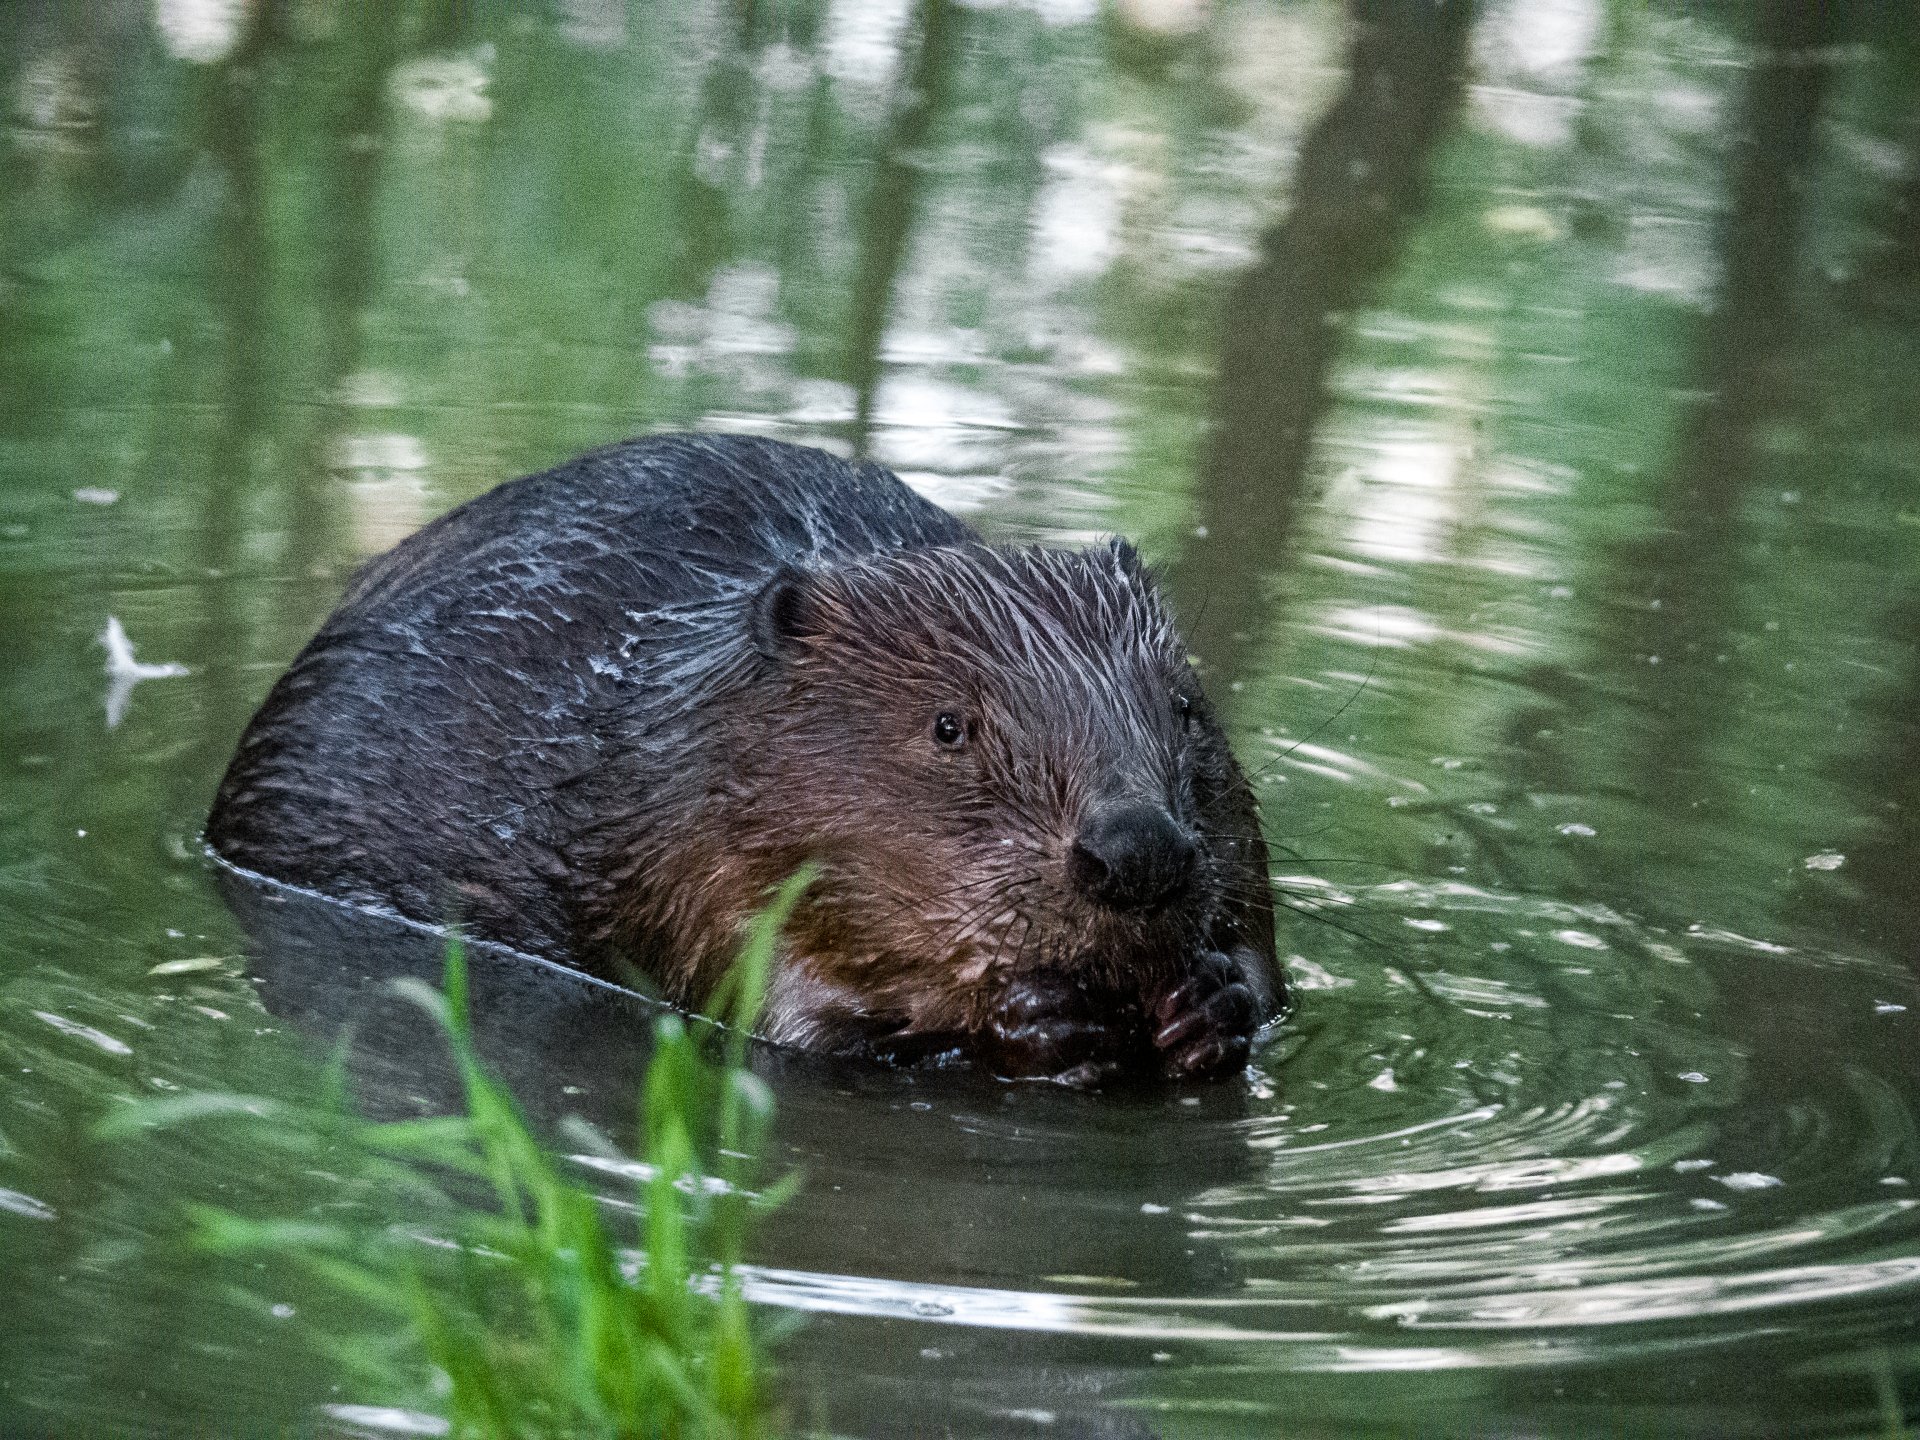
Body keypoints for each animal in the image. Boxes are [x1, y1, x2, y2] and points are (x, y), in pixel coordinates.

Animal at [210, 433, 1282, 1075]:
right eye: (949, 726)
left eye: (1184, 706)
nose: (1138, 854)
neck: (683, 702)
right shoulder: (685, 842)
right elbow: (785, 1015)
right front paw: (1034, 1019)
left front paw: (1214, 1000)